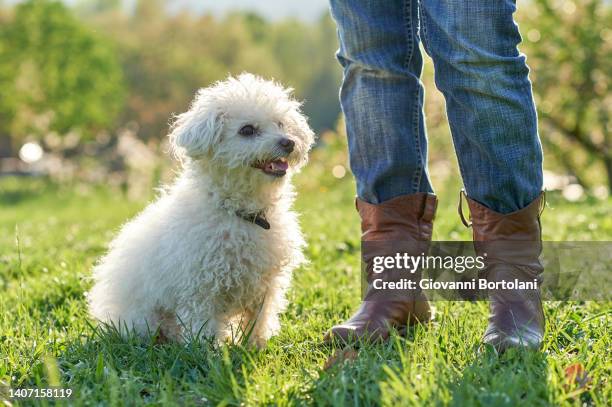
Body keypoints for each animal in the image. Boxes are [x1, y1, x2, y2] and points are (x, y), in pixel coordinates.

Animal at [88, 75, 316, 346]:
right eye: (247, 130)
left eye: (281, 124)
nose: (288, 142)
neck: (242, 214)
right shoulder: (199, 286)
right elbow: (201, 323)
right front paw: (208, 350)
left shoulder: (265, 285)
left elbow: (258, 319)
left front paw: (256, 345)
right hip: (145, 319)